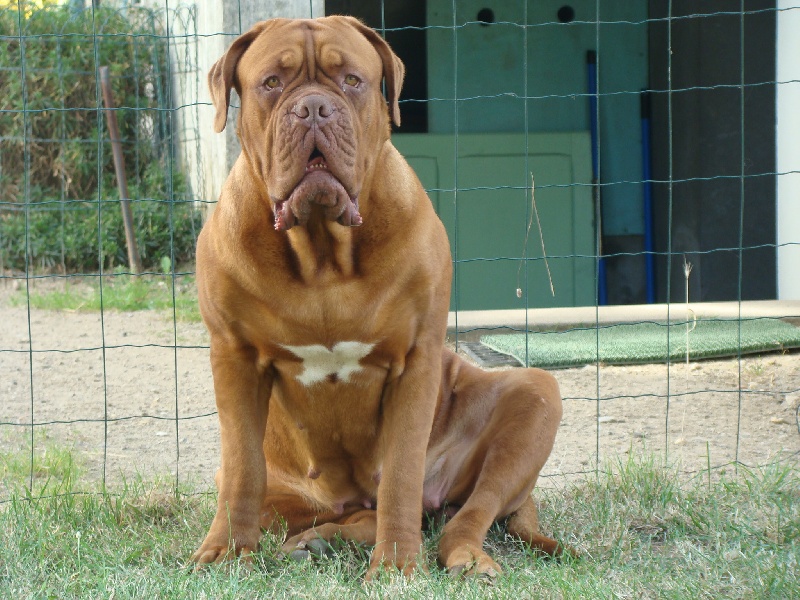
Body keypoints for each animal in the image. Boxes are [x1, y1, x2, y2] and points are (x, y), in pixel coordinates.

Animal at [193, 14, 564, 576]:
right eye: (271, 84)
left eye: (352, 81)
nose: (314, 108)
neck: (322, 251)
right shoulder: (232, 355)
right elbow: (241, 468)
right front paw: (224, 552)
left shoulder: (416, 360)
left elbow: (402, 476)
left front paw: (396, 567)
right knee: (321, 507)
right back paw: (315, 540)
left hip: (536, 396)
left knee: (464, 511)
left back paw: (464, 557)